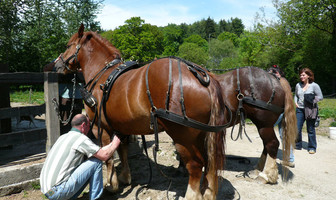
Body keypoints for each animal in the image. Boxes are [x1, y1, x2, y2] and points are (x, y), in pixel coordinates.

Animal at [55, 24, 228, 199]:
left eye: (68, 46)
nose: (57, 65)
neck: (102, 74)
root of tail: (200, 74)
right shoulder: (122, 127)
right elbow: (122, 150)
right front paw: (125, 177)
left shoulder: (100, 127)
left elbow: (108, 156)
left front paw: (112, 184)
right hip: (202, 135)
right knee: (209, 162)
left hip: (184, 137)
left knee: (195, 165)